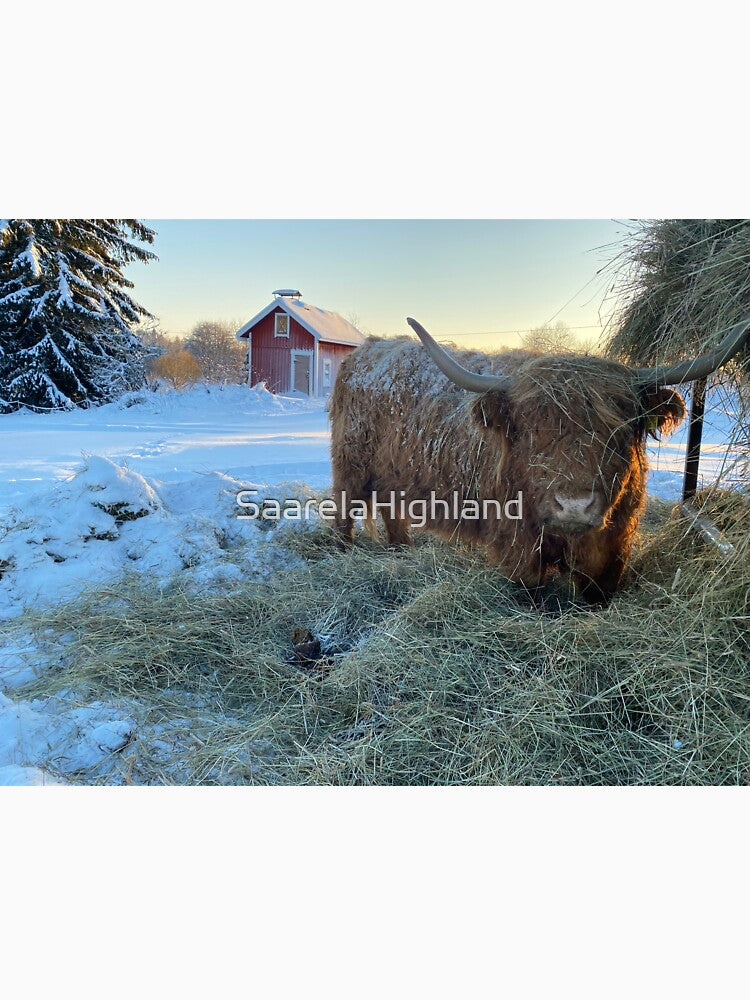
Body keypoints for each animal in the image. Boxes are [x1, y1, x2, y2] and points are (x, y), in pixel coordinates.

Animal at [328, 315, 750, 605]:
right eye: (533, 430)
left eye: (620, 429)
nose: (574, 506)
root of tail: (366, 352)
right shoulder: (519, 544)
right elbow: (531, 592)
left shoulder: (613, 546)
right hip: (351, 466)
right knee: (345, 509)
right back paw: (342, 553)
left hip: (393, 474)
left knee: (391, 509)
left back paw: (401, 549)